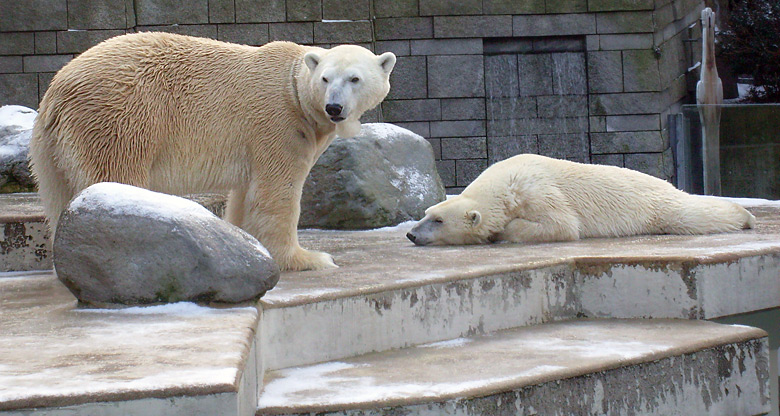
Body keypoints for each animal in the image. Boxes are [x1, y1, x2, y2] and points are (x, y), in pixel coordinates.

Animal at [30, 33, 396, 272]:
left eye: (355, 79)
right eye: (325, 79)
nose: (334, 108)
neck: (295, 92)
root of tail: (57, 89)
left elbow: (245, 196)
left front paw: (248, 247)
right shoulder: (279, 126)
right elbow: (277, 194)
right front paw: (308, 259)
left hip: (52, 148)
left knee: (57, 195)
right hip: (119, 119)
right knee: (116, 177)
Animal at [408, 156, 756, 247]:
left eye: (438, 221)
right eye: (426, 212)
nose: (411, 233)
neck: (505, 183)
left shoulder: (537, 191)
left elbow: (562, 224)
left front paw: (500, 233)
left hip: (656, 206)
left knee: (691, 214)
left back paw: (745, 215)